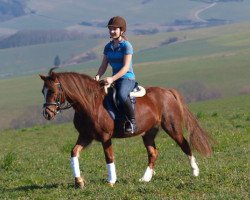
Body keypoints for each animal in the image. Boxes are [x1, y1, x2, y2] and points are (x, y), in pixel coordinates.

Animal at [40, 68, 212, 188]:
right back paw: (145, 178)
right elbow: (74, 152)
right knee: (153, 153)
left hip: (172, 127)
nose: (47, 113)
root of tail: (167, 91)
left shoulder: (105, 136)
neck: (90, 104)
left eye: (53, 91)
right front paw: (79, 181)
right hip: (148, 133)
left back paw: (195, 171)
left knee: (184, 145)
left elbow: (109, 157)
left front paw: (111, 181)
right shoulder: (85, 136)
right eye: (43, 91)